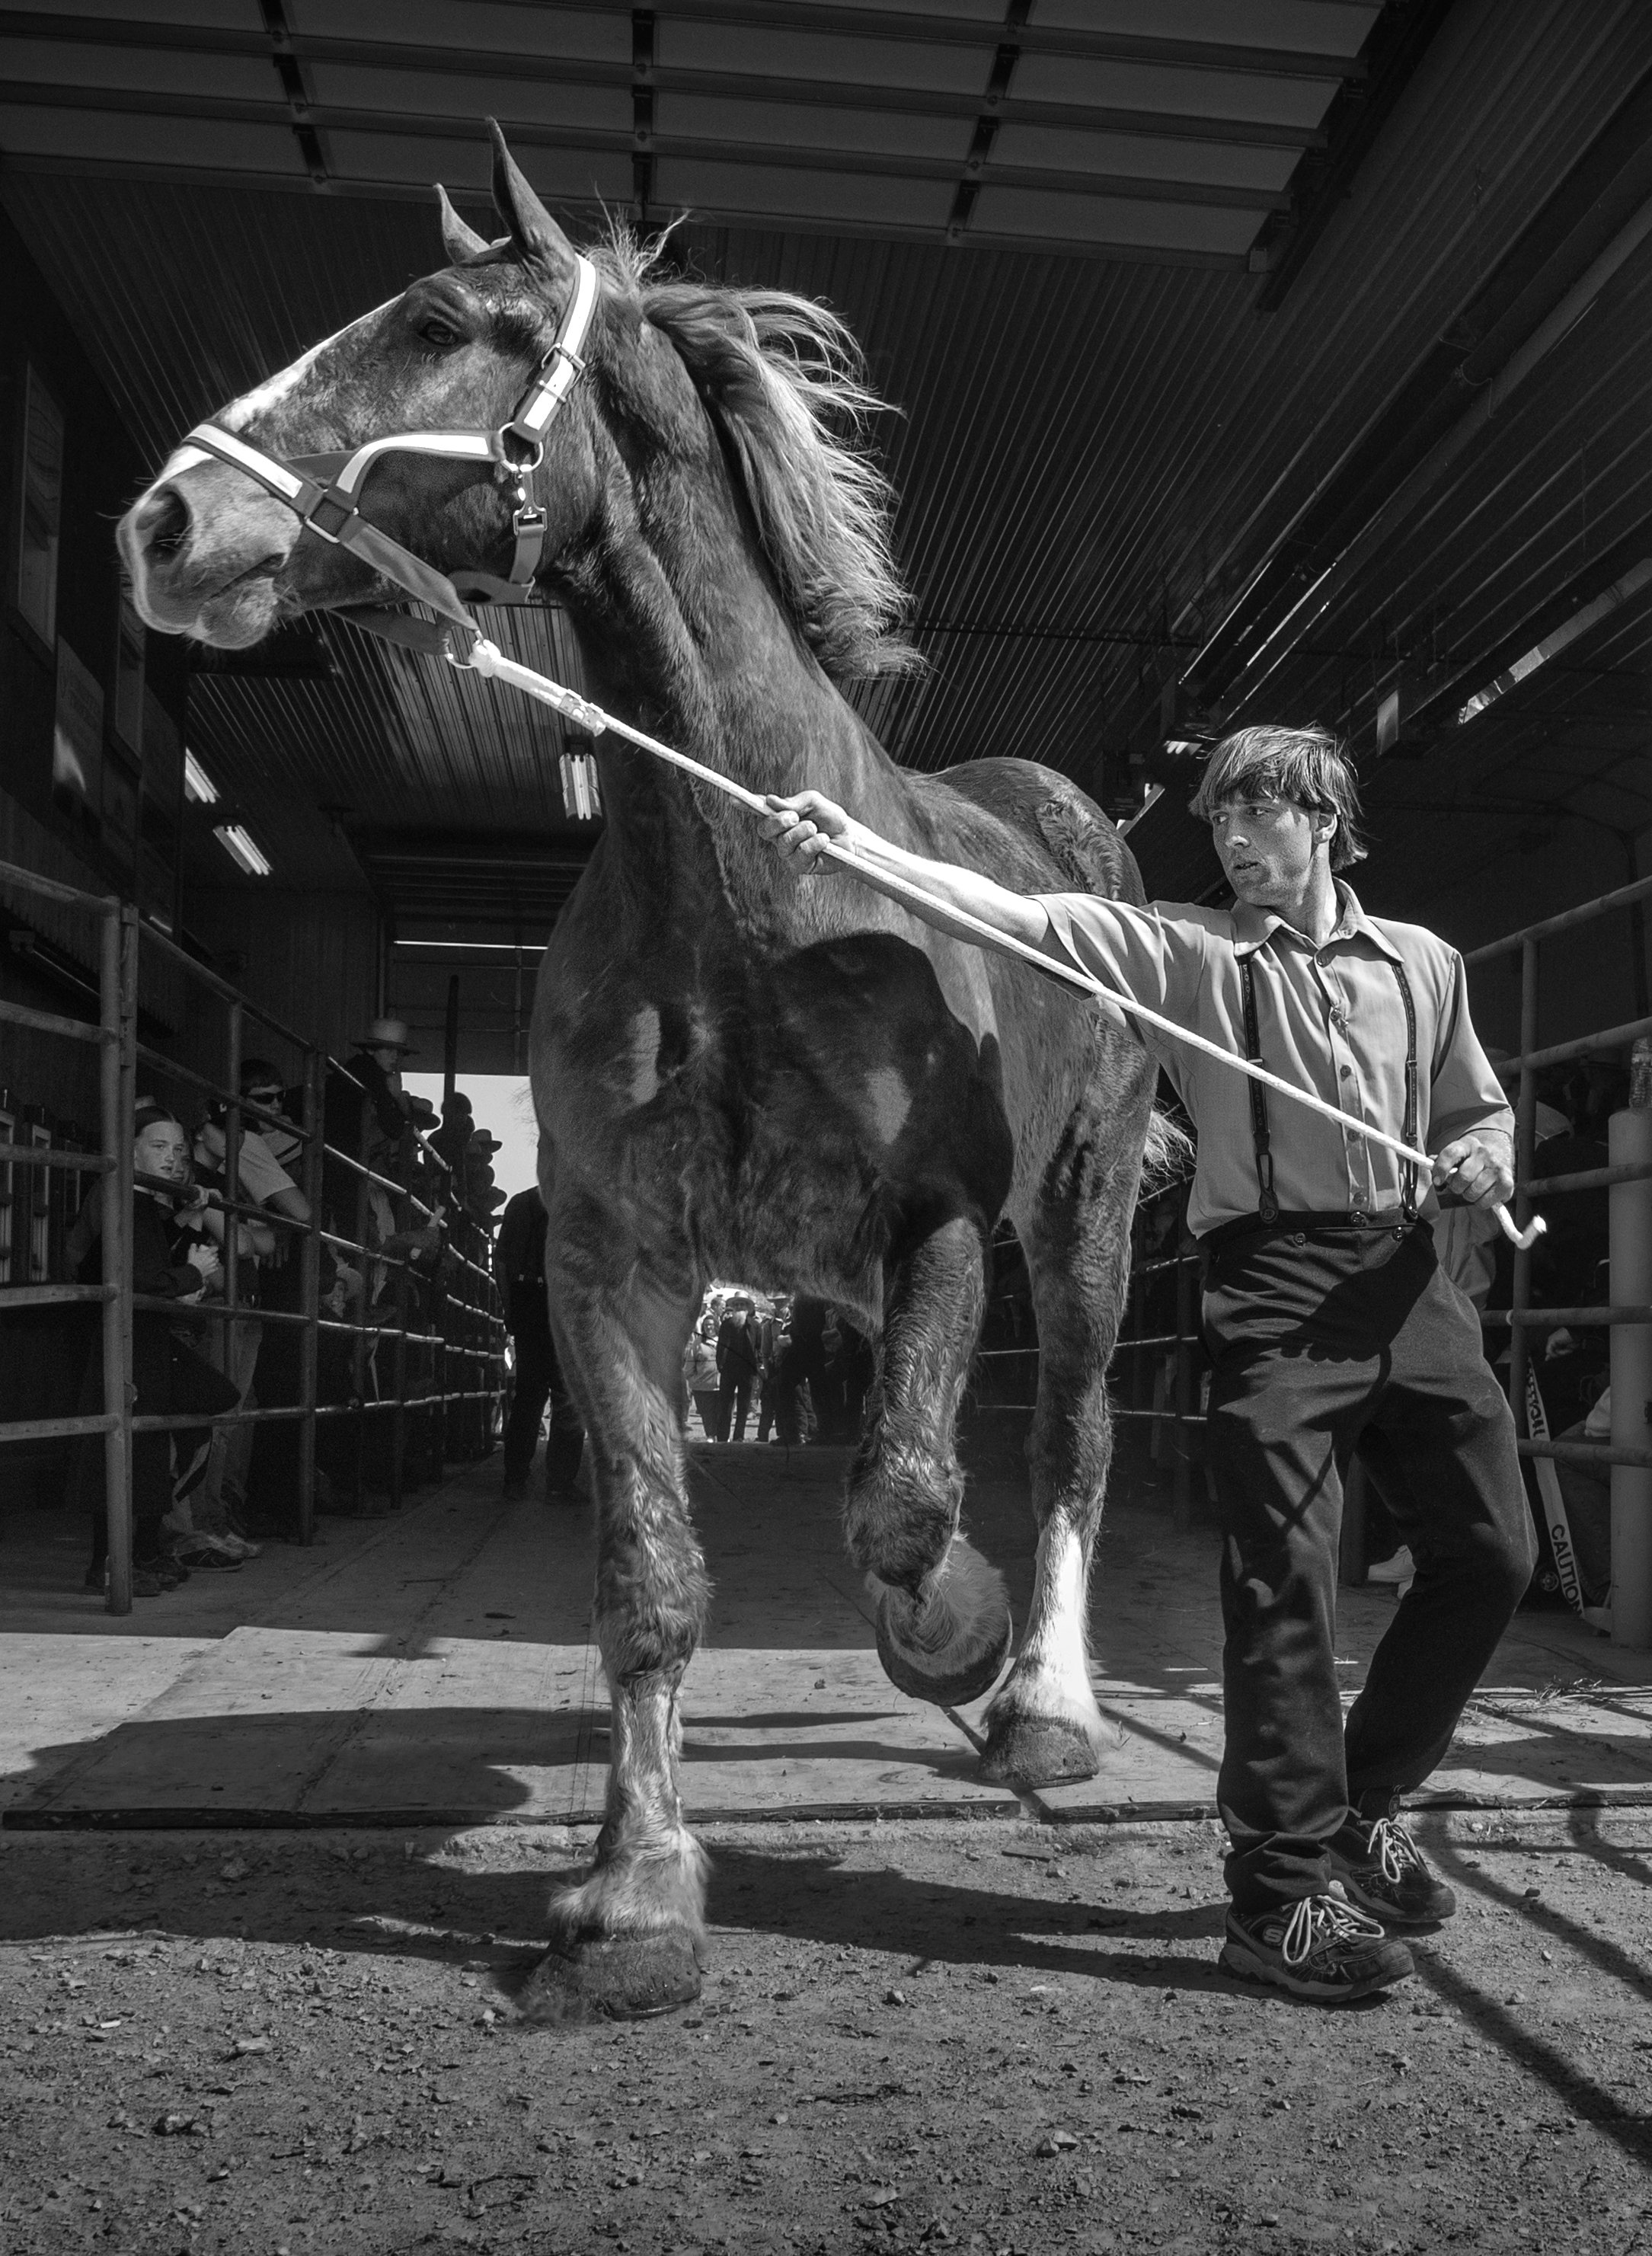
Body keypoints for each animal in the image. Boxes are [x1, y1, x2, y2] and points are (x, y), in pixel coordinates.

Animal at [122, 128, 1164, 2030]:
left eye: (439, 320)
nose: (166, 522)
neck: (749, 884)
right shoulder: (616, 1269)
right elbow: (648, 1579)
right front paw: (633, 1895)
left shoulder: (937, 1227)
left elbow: (903, 1499)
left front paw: (954, 1636)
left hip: (1081, 1224)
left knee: (1071, 1433)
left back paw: (1044, 1706)